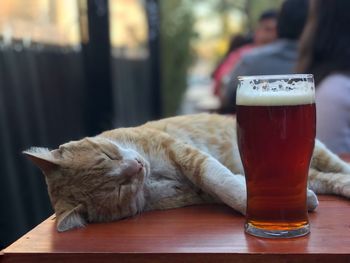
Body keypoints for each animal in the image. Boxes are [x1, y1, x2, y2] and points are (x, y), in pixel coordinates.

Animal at [23, 114, 350, 233]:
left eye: (109, 155)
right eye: (117, 188)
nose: (137, 166)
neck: (151, 179)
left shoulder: (184, 153)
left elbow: (223, 182)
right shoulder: (195, 191)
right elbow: (233, 189)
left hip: (318, 151)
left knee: (338, 166)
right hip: (312, 171)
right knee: (328, 178)